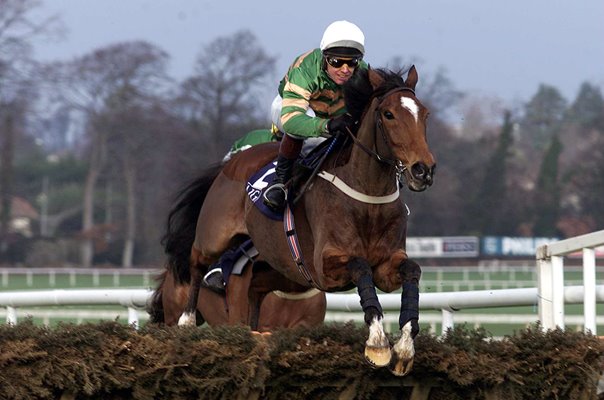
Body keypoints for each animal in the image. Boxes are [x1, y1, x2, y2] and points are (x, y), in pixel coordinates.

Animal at [179, 65, 434, 376]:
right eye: (389, 114)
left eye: (424, 114)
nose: (423, 170)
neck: (367, 196)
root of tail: (232, 161)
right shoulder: (326, 266)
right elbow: (360, 266)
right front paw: (377, 343)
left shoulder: (387, 265)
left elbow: (412, 270)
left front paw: (405, 345)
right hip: (215, 236)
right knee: (195, 261)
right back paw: (186, 321)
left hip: (278, 267)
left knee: (255, 289)